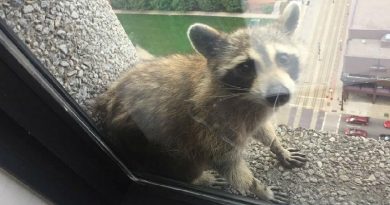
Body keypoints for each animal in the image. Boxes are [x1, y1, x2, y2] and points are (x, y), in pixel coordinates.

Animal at [95, 1, 308, 203]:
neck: (246, 97)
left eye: (283, 58)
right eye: (246, 67)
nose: (279, 95)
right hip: (150, 145)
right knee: (184, 157)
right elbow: (227, 164)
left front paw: (277, 146)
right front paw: (259, 188)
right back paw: (197, 178)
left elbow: (262, 128)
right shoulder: (211, 123)